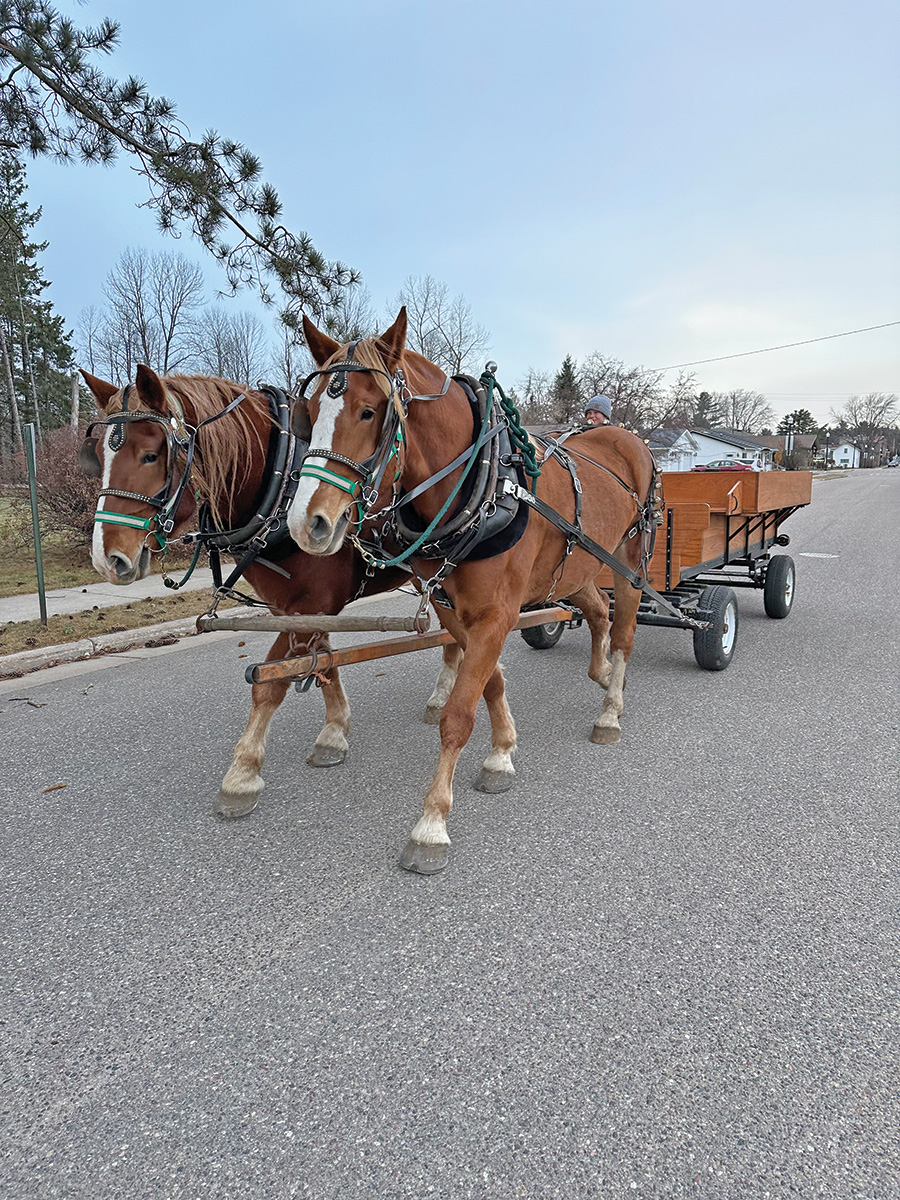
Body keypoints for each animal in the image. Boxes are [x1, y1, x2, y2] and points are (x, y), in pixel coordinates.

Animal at [79, 363, 461, 819]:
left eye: (151, 455)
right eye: (98, 457)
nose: (108, 559)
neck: (281, 486)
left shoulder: (313, 604)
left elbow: (269, 684)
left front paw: (242, 775)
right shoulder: (294, 608)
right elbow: (322, 663)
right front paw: (334, 732)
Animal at [286, 309, 657, 873]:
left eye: (369, 412)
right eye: (309, 411)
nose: (307, 524)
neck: (480, 480)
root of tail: (627, 436)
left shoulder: (496, 612)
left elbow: (459, 714)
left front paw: (431, 825)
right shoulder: (455, 610)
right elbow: (491, 683)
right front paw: (502, 752)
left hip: (631, 559)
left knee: (626, 630)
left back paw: (610, 707)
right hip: (578, 565)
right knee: (596, 609)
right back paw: (599, 673)